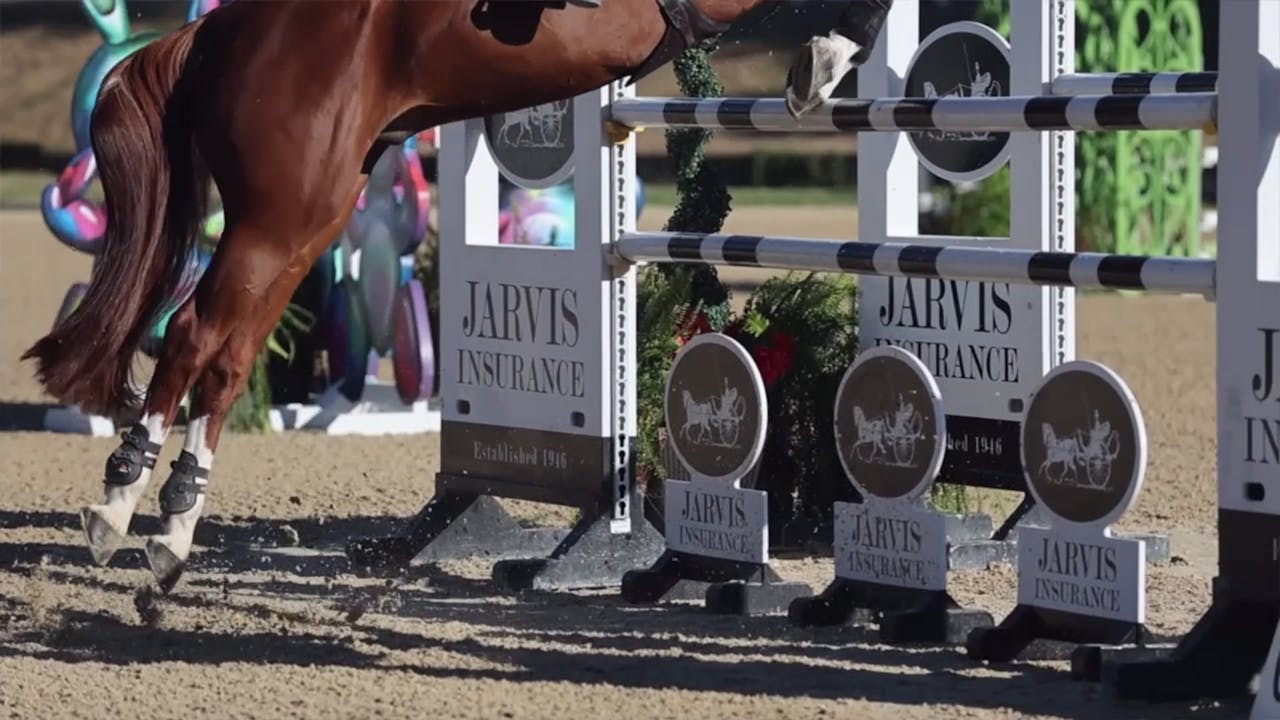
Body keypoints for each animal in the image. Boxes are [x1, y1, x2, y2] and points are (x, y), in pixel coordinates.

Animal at [24, 0, 896, 589]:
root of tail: (216, 31)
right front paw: (823, 58)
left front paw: (820, 61)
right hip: (283, 214)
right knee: (195, 334)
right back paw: (120, 510)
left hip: (309, 215)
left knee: (227, 353)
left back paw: (172, 529)